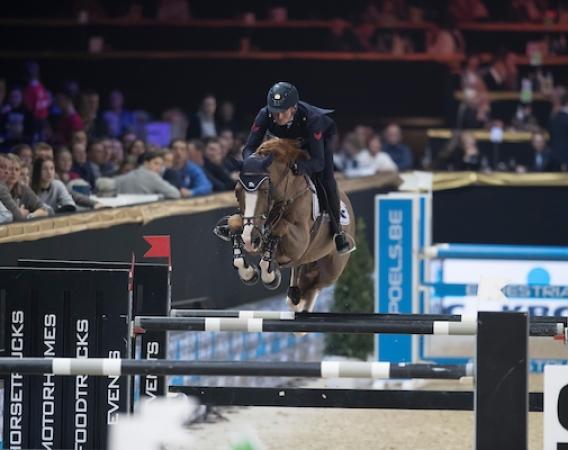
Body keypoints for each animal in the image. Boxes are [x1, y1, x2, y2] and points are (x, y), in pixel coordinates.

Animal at [225, 138, 356, 313]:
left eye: (266, 190)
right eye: (237, 191)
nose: (249, 240)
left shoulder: (300, 242)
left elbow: (280, 228)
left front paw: (271, 276)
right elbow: (234, 222)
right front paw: (249, 273)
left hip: (330, 269)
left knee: (314, 287)